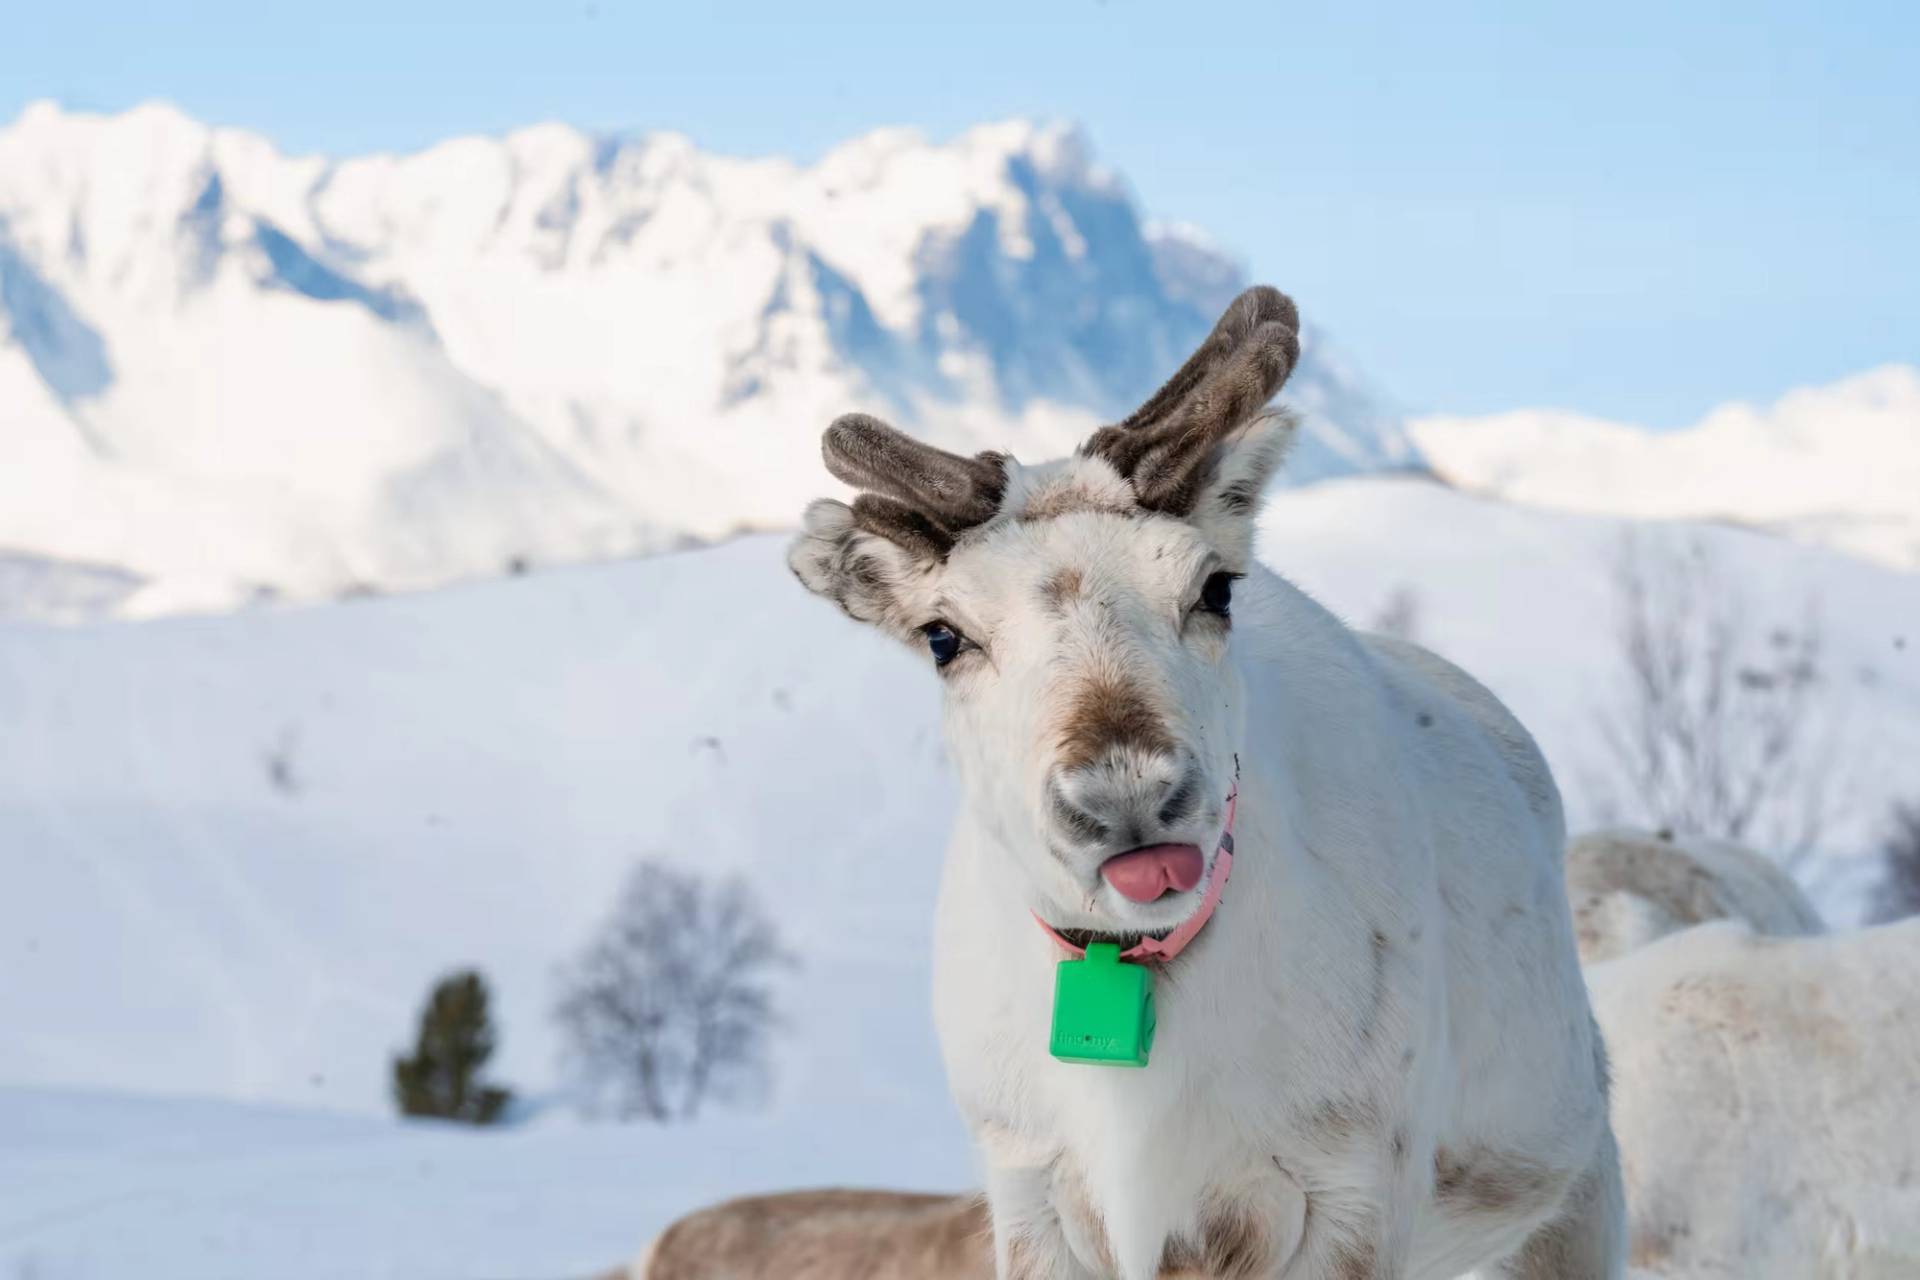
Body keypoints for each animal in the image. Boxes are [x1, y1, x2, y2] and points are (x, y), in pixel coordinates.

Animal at [787, 286, 1624, 1279]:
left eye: (1216, 589)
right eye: (944, 636)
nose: (1127, 798)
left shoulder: (1353, 1195)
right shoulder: (1030, 1193)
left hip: (1574, 1192)